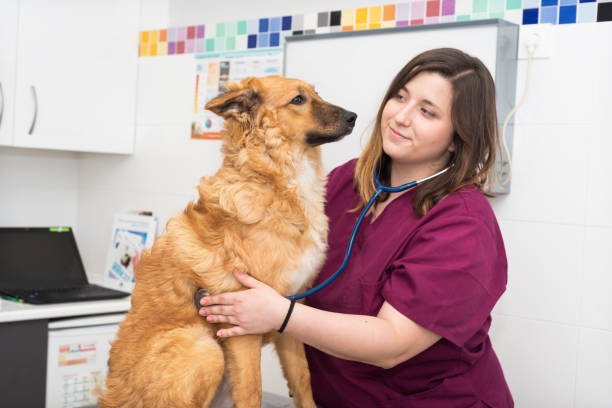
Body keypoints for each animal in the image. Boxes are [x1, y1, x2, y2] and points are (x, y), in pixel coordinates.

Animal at [100, 75, 356, 406]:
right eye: (298, 100)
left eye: (317, 93)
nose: (354, 117)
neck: (275, 181)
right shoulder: (242, 325)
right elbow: (251, 391)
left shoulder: (290, 311)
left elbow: (302, 380)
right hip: (205, 350)